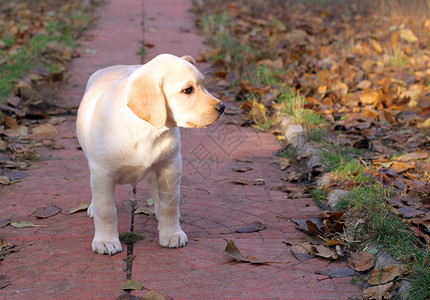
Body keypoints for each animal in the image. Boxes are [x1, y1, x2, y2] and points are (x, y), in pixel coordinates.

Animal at [77, 54, 223, 255]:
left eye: (204, 86)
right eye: (188, 90)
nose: (222, 107)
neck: (145, 129)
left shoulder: (170, 166)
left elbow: (170, 204)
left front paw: (171, 234)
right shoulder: (102, 172)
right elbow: (106, 209)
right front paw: (105, 241)